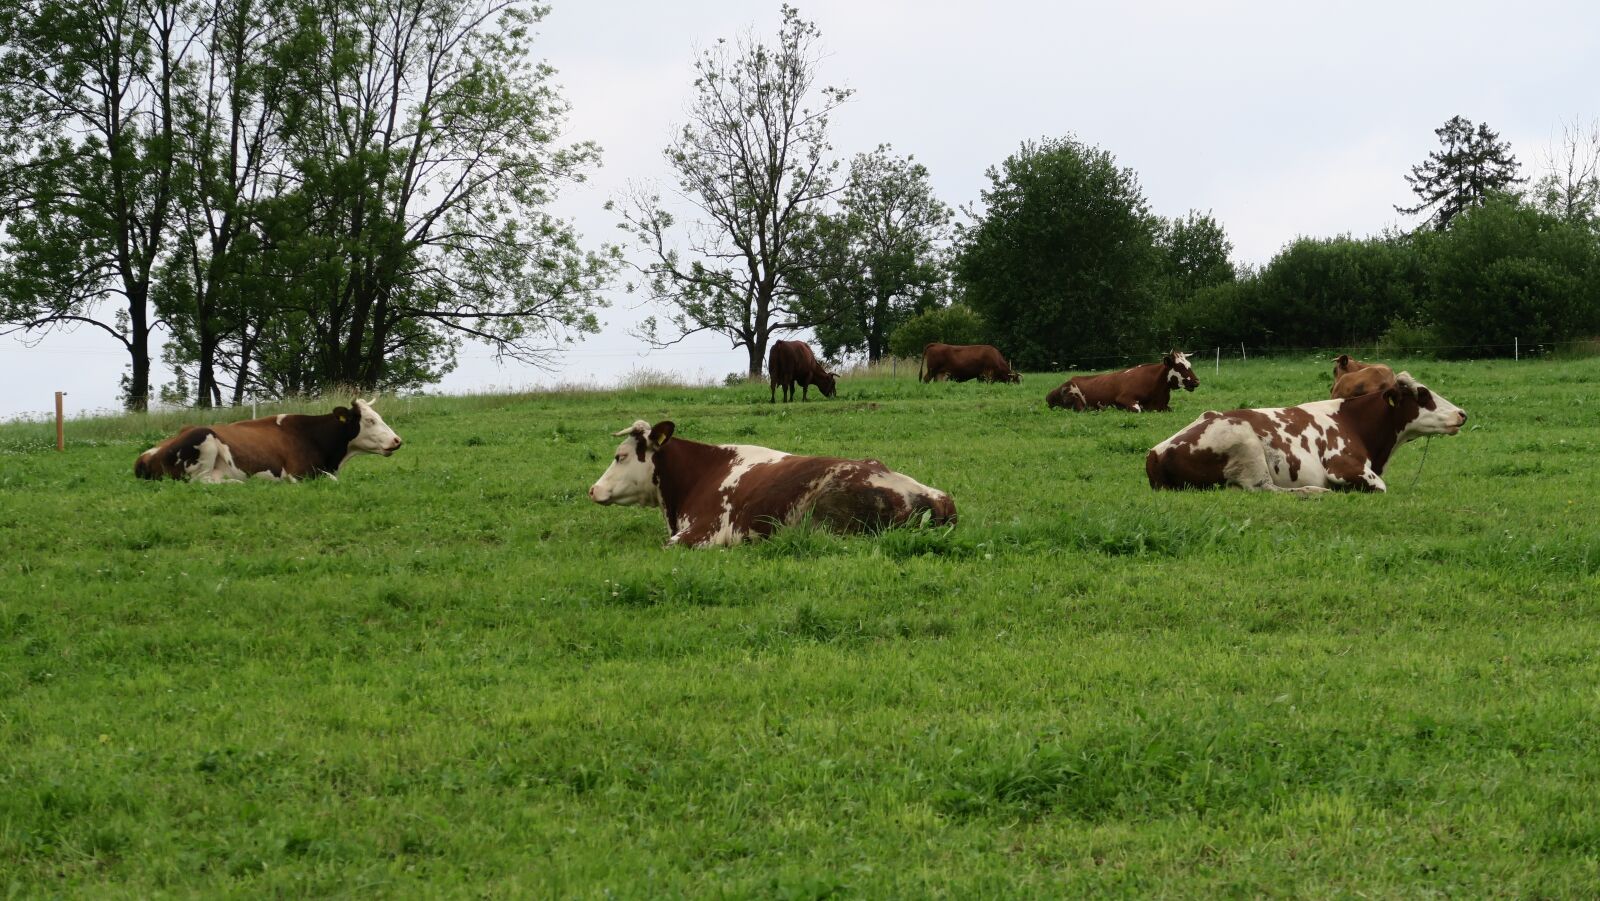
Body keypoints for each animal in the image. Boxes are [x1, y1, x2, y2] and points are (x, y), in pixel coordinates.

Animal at [135, 398, 403, 482]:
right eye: (370, 421)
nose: (397, 440)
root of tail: (145, 456)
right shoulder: (299, 472)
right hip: (203, 440)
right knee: (201, 481)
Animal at [1046, 351, 1199, 412]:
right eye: (1180, 366)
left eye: (1189, 364)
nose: (1197, 381)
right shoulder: (1124, 399)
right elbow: (1138, 409)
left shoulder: (1163, 406)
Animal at [1144, 372, 1465, 495]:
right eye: (1423, 394)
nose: (1462, 414)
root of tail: (1155, 453)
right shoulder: (1343, 467)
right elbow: (1381, 487)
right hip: (1245, 443)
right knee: (1266, 490)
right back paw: (1316, 492)